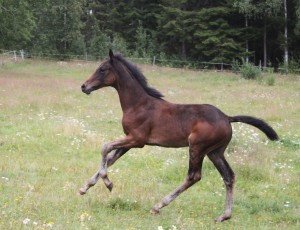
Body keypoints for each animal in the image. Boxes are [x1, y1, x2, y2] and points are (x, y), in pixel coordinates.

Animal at [78, 49, 278, 222]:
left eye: (103, 69)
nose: (84, 86)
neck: (138, 104)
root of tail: (227, 118)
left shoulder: (137, 139)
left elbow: (105, 148)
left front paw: (108, 183)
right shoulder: (129, 141)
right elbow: (111, 158)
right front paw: (84, 187)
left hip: (197, 146)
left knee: (193, 176)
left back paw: (158, 206)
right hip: (215, 152)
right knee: (229, 176)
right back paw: (224, 216)